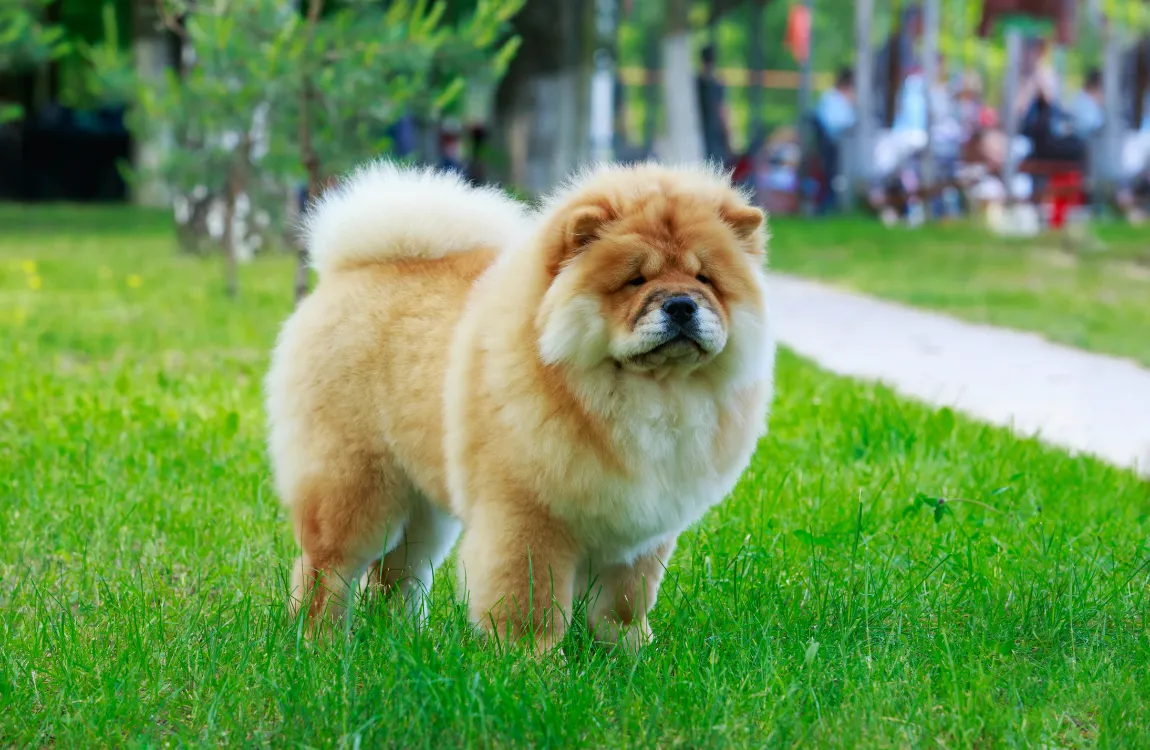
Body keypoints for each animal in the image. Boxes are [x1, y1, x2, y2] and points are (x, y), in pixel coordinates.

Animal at [264, 159, 777, 648]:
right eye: (635, 281)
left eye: (705, 278)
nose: (682, 305)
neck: (650, 394)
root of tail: (348, 271)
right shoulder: (528, 515)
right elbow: (533, 604)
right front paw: (534, 663)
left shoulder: (642, 525)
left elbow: (626, 602)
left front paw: (630, 653)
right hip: (354, 487)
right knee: (327, 569)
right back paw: (319, 643)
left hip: (423, 508)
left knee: (399, 576)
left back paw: (402, 639)